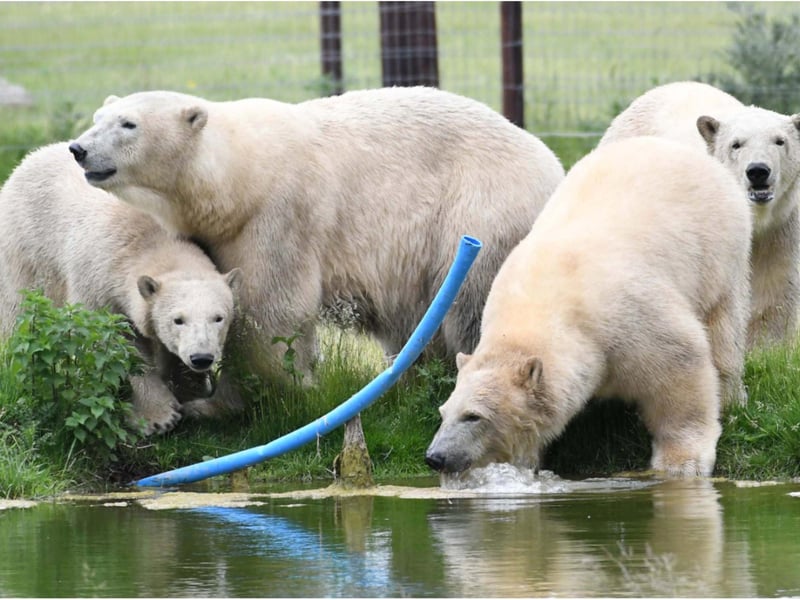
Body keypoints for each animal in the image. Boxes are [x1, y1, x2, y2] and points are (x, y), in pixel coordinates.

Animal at [0, 142, 243, 435]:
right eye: (178, 320)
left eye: (219, 318)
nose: (201, 358)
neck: (150, 241)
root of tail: (30, 157)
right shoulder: (98, 280)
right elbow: (114, 342)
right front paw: (159, 416)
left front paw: (192, 391)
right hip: (26, 247)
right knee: (19, 312)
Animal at [67, 86, 565, 384]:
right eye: (98, 115)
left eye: (128, 124)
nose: (78, 149)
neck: (239, 178)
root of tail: (552, 163)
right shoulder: (217, 231)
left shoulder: (281, 213)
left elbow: (272, 307)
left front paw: (283, 386)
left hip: (480, 212)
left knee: (471, 305)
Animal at [425, 136, 752, 478]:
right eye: (443, 412)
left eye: (473, 416)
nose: (435, 457)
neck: (544, 306)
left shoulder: (629, 317)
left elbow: (680, 364)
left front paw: (682, 462)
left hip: (719, 250)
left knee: (724, 326)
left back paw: (731, 394)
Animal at [599, 80, 800, 348]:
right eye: (736, 144)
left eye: (779, 141)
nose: (758, 171)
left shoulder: (781, 225)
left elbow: (774, 285)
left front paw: (765, 347)